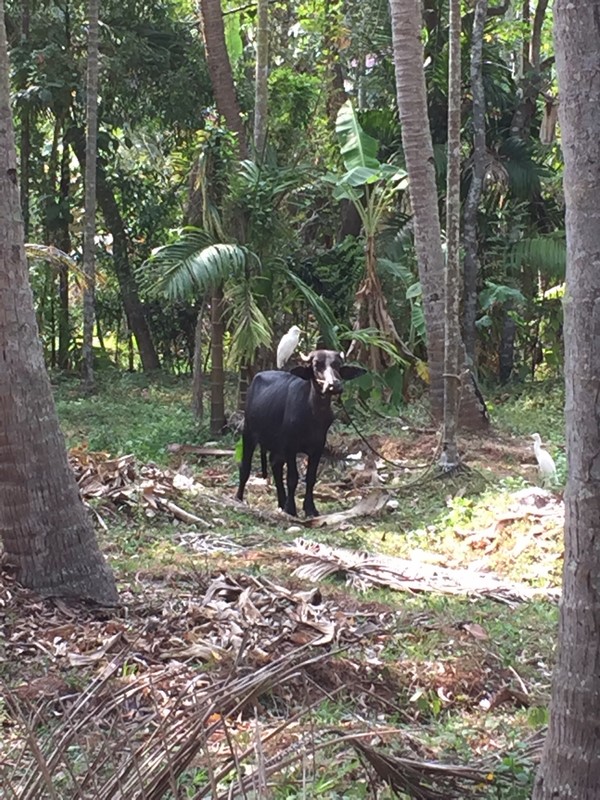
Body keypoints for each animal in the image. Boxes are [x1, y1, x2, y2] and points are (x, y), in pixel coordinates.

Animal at [236, 352, 366, 520]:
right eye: (316, 365)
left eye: (337, 365)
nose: (334, 385)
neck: (313, 413)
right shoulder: (290, 447)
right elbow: (293, 478)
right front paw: (291, 509)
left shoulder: (318, 448)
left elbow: (311, 478)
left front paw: (310, 508)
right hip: (248, 433)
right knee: (245, 467)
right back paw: (239, 498)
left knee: (275, 465)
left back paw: (281, 502)